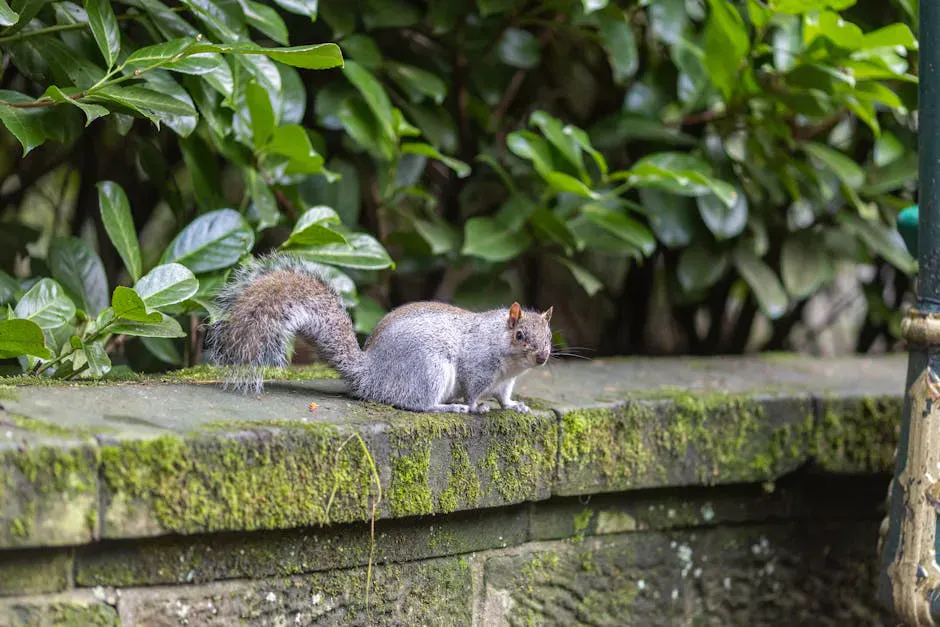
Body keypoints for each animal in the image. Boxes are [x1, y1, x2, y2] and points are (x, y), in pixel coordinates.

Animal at [205, 254, 554, 414]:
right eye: (520, 335)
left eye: (549, 336)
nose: (542, 357)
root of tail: (372, 375)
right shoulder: (478, 364)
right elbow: (473, 389)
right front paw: (475, 406)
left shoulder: (505, 381)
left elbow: (504, 396)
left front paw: (515, 406)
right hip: (430, 370)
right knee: (419, 404)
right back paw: (447, 406)